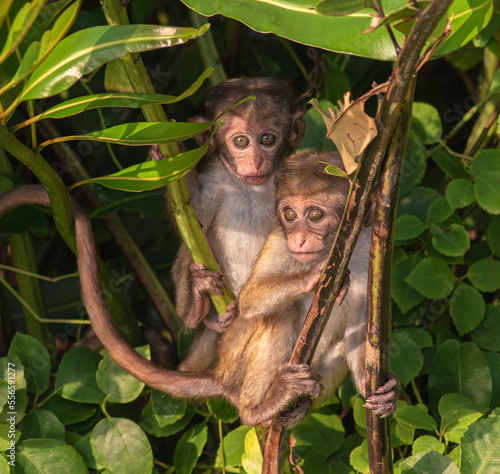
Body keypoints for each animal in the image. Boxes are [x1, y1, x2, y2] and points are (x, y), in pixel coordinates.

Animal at [171, 78, 304, 372]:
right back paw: (197, 307)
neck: (250, 187)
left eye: (267, 139)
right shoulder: (214, 180)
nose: (255, 162)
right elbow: (194, 218)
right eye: (241, 141)